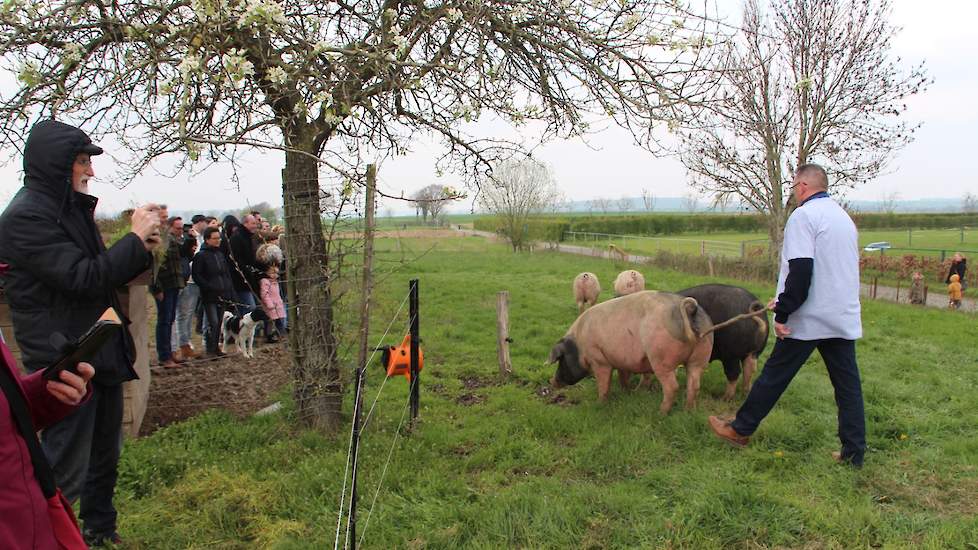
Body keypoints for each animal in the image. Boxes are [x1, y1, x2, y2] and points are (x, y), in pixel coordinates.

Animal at [544, 294, 712, 414]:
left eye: (560, 360)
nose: (551, 381)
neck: (579, 345)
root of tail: (689, 310)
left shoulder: (599, 360)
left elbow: (603, 383)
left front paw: (600, 404)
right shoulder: (621, 361)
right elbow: (623, 377)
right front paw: (628, 392)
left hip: (662, 359)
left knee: (672, 387)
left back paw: (660, 413)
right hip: (700, 358)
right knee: (694, 385)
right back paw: (689, 411)